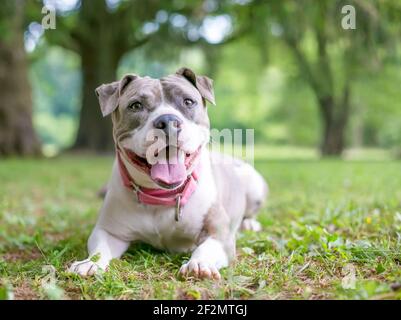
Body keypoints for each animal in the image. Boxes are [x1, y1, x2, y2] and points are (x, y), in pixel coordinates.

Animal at [68, 68, 268, 280]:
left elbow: (206, 247)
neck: (162, 196)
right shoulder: (109, 231)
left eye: (188, 101)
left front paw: (199, 264)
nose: (168, 121)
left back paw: (250, 224)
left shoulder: (220, 235)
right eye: (136, 105)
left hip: (253, 184)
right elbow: (100, 249)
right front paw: (89, 263)